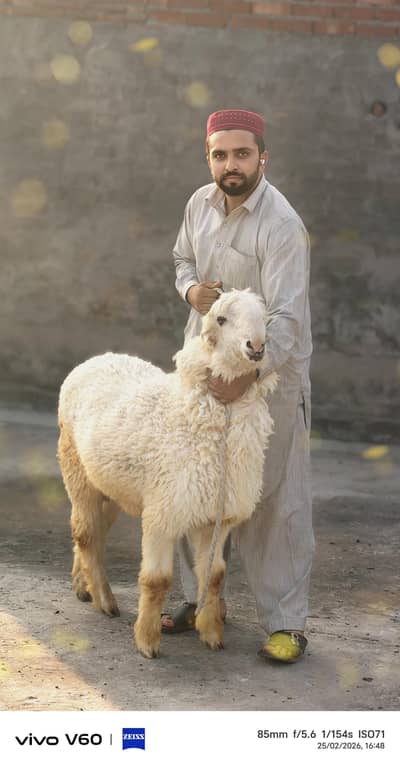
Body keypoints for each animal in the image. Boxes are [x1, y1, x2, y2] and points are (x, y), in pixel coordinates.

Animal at [57, 288, 278, 658]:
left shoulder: (216, 516)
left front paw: (211, 633)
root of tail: (98, 358)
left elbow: (214, 576)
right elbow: (156, 580)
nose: (256, 347)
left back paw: (83, 585)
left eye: (265, 319)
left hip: (112, 486)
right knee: (85, 532)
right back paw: (104, 600)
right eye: (221, 319)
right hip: (76, 468)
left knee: (94, 532)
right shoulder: (165, 512)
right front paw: (147, 641)